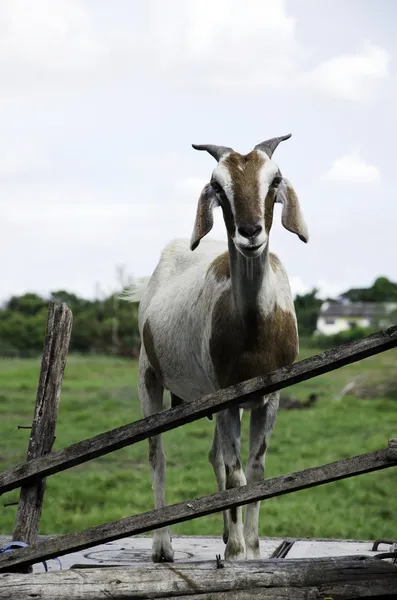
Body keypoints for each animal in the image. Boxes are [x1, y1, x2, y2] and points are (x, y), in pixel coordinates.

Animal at [125, 135, 308, 564]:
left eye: (275, 180)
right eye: (218, 188)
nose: (250, 232)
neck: (254, 330)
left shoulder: (270, 396)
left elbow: (254, 471)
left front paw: (252, 548)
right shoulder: (226, 395)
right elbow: (237, 474)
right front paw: (240, 550)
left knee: (215, 459)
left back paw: (225, 535)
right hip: (149, 374)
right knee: (157, 454)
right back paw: (163, 546)